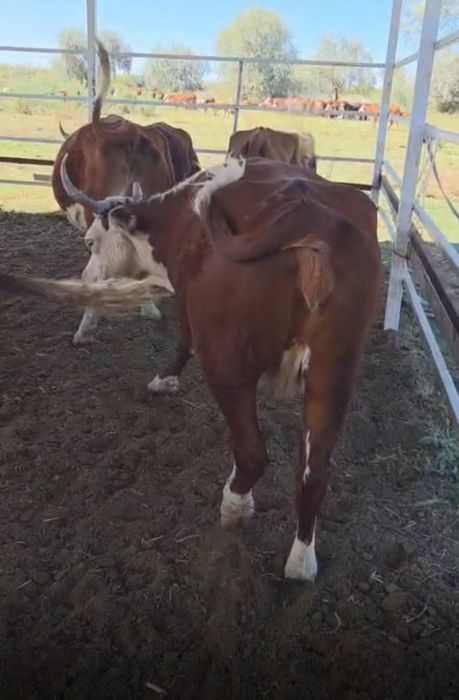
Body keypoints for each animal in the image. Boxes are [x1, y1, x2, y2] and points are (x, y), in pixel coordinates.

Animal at [0, 154, 381, 582]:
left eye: (92, 242)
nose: (85, 277)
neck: (175, 219)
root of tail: (309, 217)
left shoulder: (187, 304)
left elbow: (182, 338)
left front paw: (163, 379)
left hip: (227, 364)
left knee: (252, 453)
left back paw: (235, 505)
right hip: (333, 375)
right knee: (313, 474)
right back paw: (301, 562)